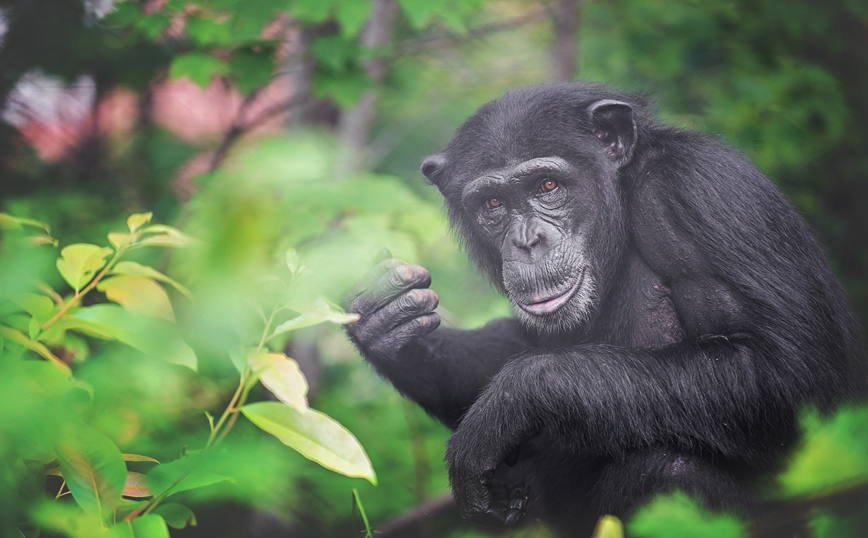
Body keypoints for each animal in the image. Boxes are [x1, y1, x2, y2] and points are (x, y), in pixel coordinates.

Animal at [342, 81, 864, 528]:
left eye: (547, 186)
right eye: (492, 204)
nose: (526, 240)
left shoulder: (709, 194)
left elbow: (790, 375)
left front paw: (516, 396)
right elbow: (516, 344)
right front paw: (389, 327)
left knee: (669, 473)